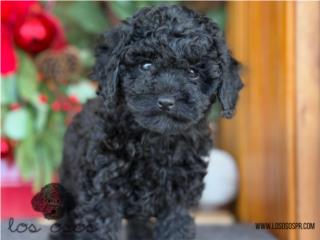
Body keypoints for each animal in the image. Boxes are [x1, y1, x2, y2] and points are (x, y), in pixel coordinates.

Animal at [53, 4, 242, 240]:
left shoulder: (177, 199)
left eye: (193, 73)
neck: (153, 141)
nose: (166, 101)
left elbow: (176, 229)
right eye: (146, 65)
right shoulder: (102, 196)